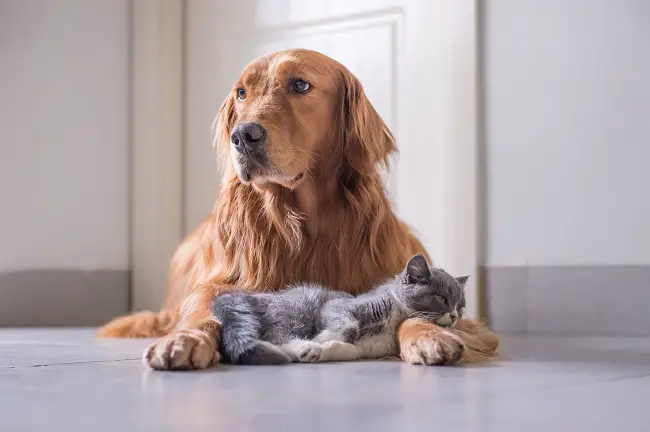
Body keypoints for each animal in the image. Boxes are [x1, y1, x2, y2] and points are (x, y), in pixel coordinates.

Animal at [210, 253, 464, 364]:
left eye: (461, 305)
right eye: (441, 298)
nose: (454, 315)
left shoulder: (371, 347)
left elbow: (351, 350)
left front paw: (329, 349)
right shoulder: (340, 305)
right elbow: (348, 324)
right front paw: (323, 340)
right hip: (295, 309)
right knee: (277, 336)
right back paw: (305, 347)